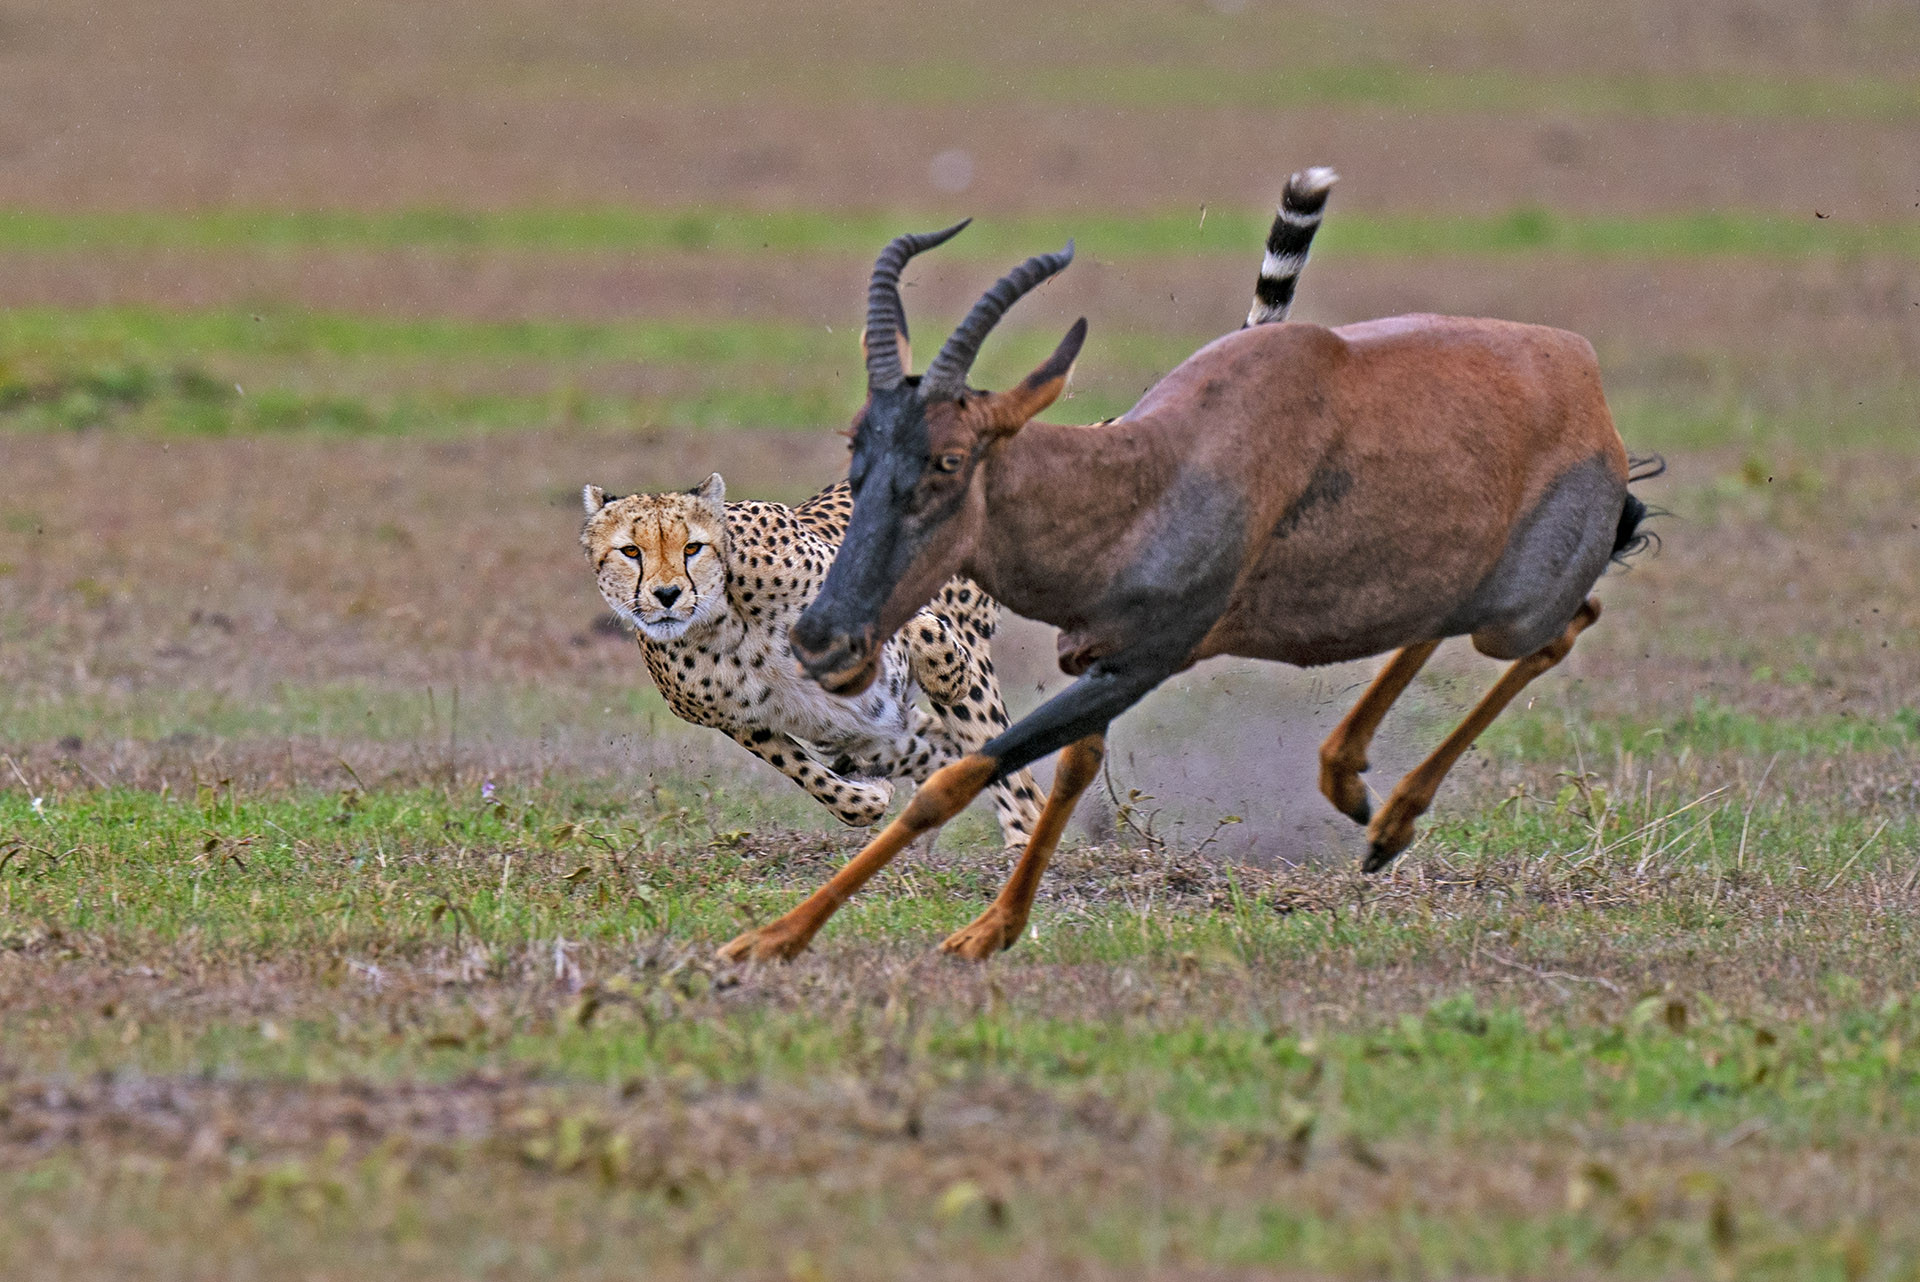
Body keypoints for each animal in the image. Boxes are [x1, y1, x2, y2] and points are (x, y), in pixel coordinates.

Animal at [581, 472, 1045, 847]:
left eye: (693, 547)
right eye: (630, 552)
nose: (667, 595)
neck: (722, 623)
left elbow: (921, 627)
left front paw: (948, 673)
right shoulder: (745, 724)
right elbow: (821, 784)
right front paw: (871, 793)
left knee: (1015, 782)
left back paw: (1022, 845)